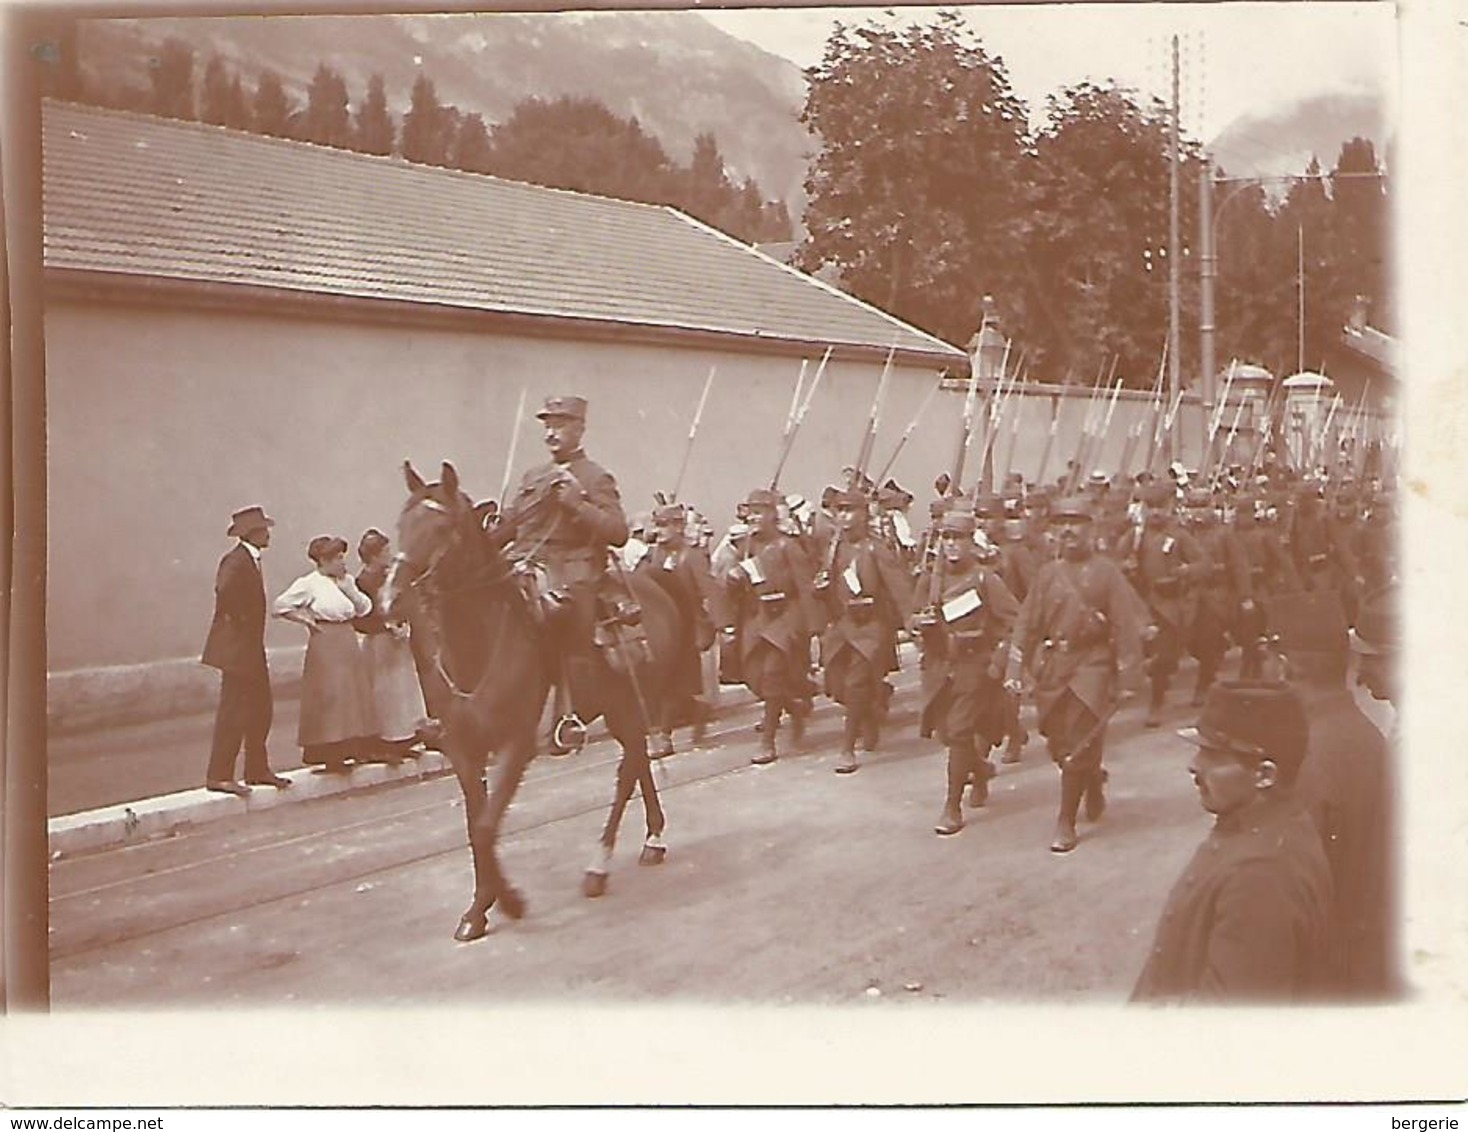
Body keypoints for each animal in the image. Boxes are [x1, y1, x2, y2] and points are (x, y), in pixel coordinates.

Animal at [378, 463, 675, 945]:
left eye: (440, 528)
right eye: (401, 525)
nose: (388, 601)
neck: (478, 644)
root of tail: (651, 586)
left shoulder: (517, 744)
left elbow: (485, 826)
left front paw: (508, 901)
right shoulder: (463, 748)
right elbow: (476, 825)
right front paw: (482, 907)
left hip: (630, 705)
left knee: (627, 772)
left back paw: (599, 866)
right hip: (624, 709)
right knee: (638, 764)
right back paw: (652, 840)